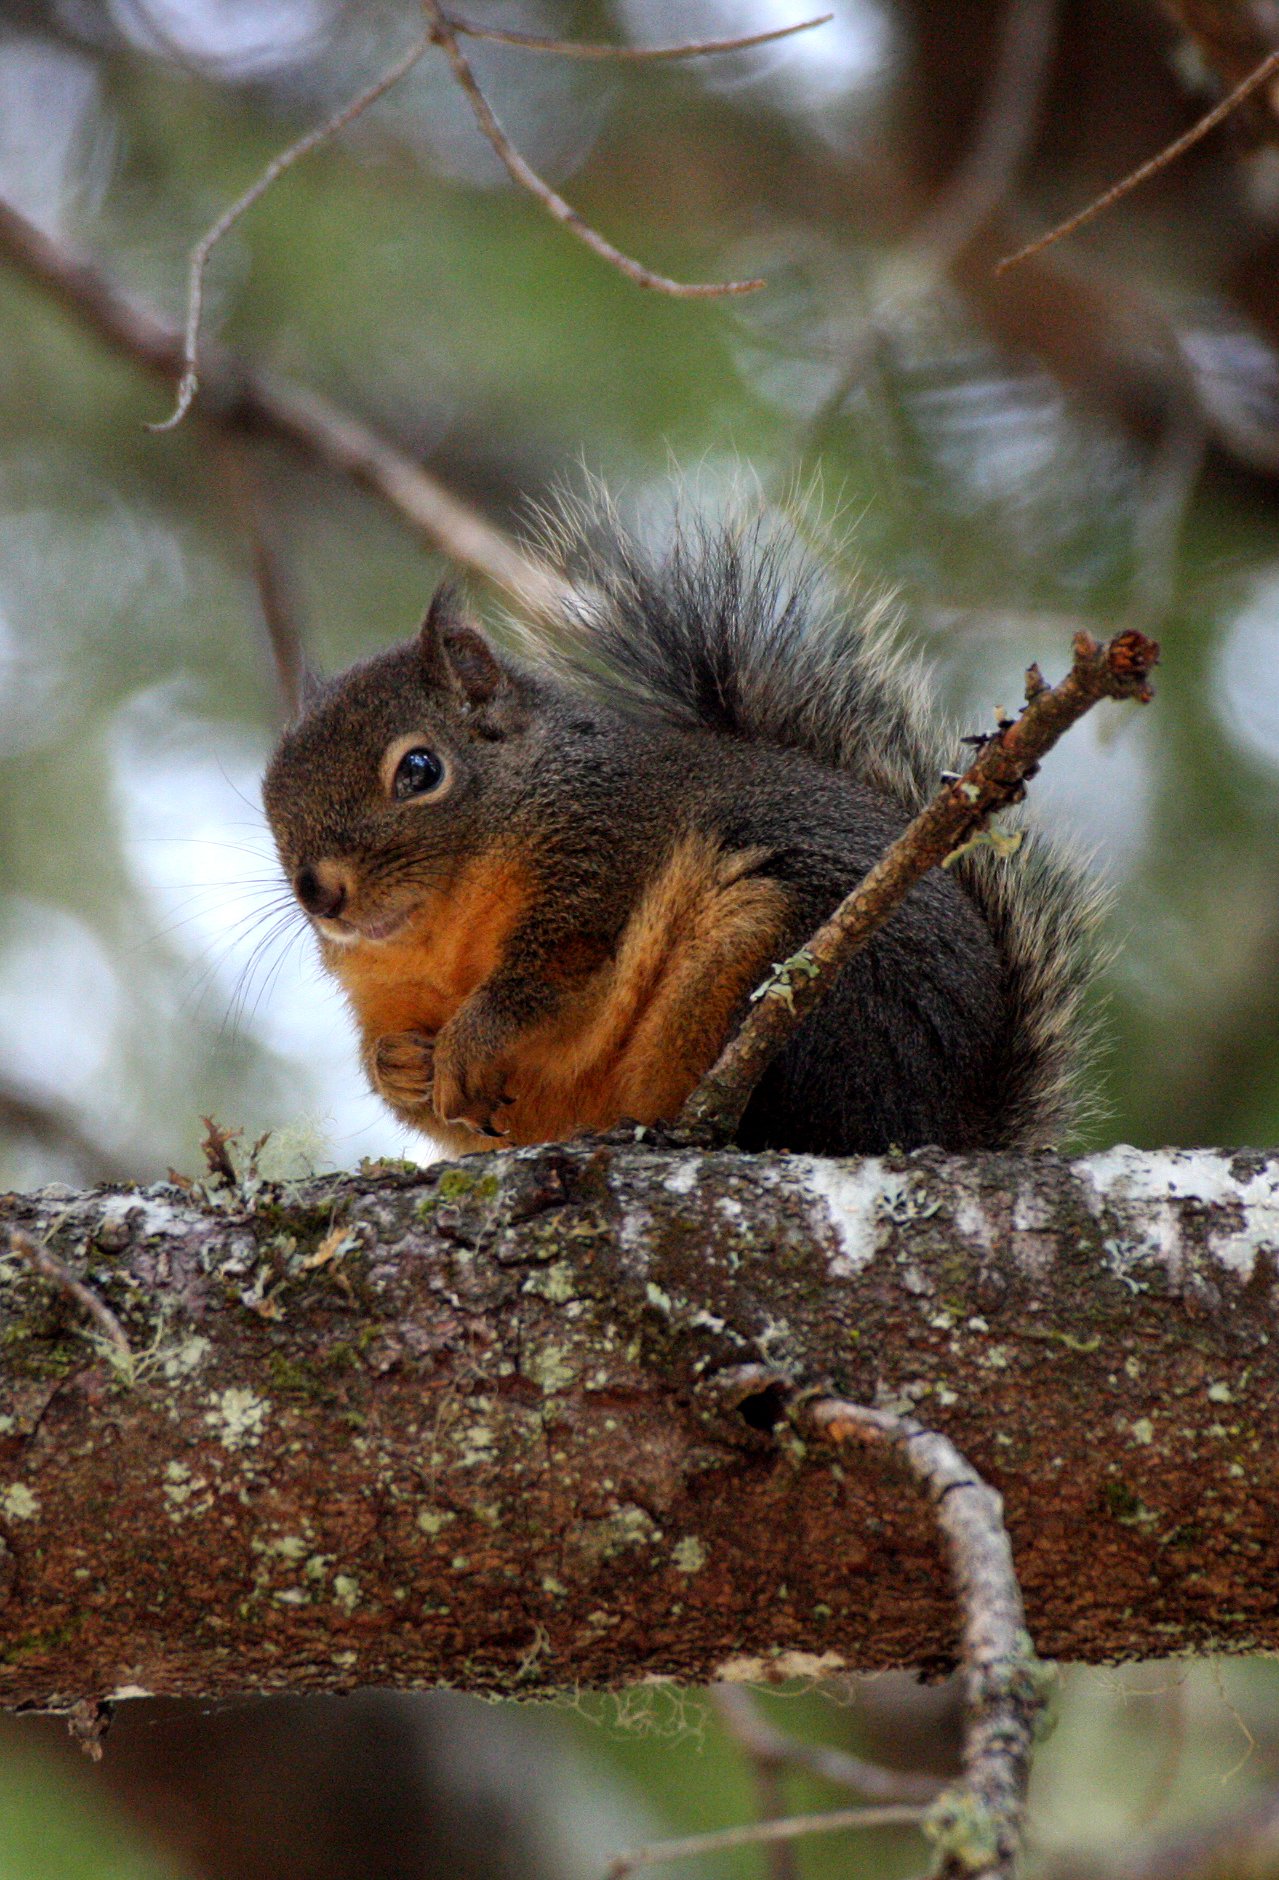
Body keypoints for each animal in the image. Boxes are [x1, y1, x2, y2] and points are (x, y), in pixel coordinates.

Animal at [262, 503, 1099, 1160]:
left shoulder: (604, 853)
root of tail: (944, 1126)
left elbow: (545, 978)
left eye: (419, 769)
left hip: (789, 963)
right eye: (271, 799)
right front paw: (398, 1064)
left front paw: (470, 1040)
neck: (443, 938)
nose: (320, 894)